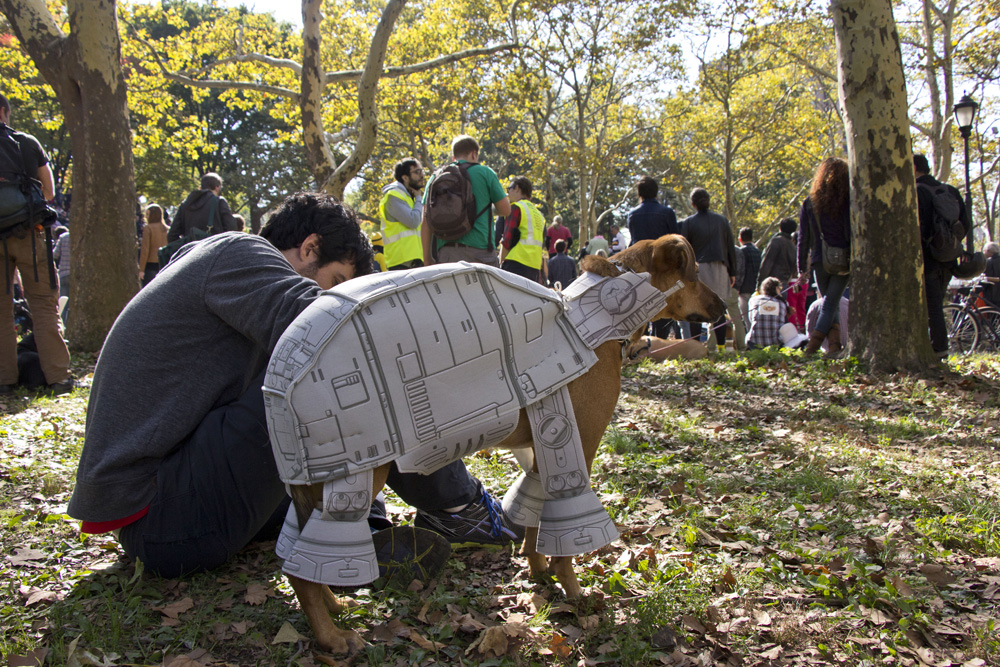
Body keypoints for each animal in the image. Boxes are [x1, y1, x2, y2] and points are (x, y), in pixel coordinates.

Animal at [276, 235, 728, 652]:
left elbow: (536, 519)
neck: (593, 317)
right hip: (358, 475)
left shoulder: (545, 449)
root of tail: (279, 379)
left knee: (297, 556)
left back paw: (334, 605)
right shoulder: (579, 446)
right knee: (299, 570)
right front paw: (575, 593)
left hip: (309, 489)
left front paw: (539, 571)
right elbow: (565, 540)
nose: (724, 307)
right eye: (695, 274)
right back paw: (332, 637)